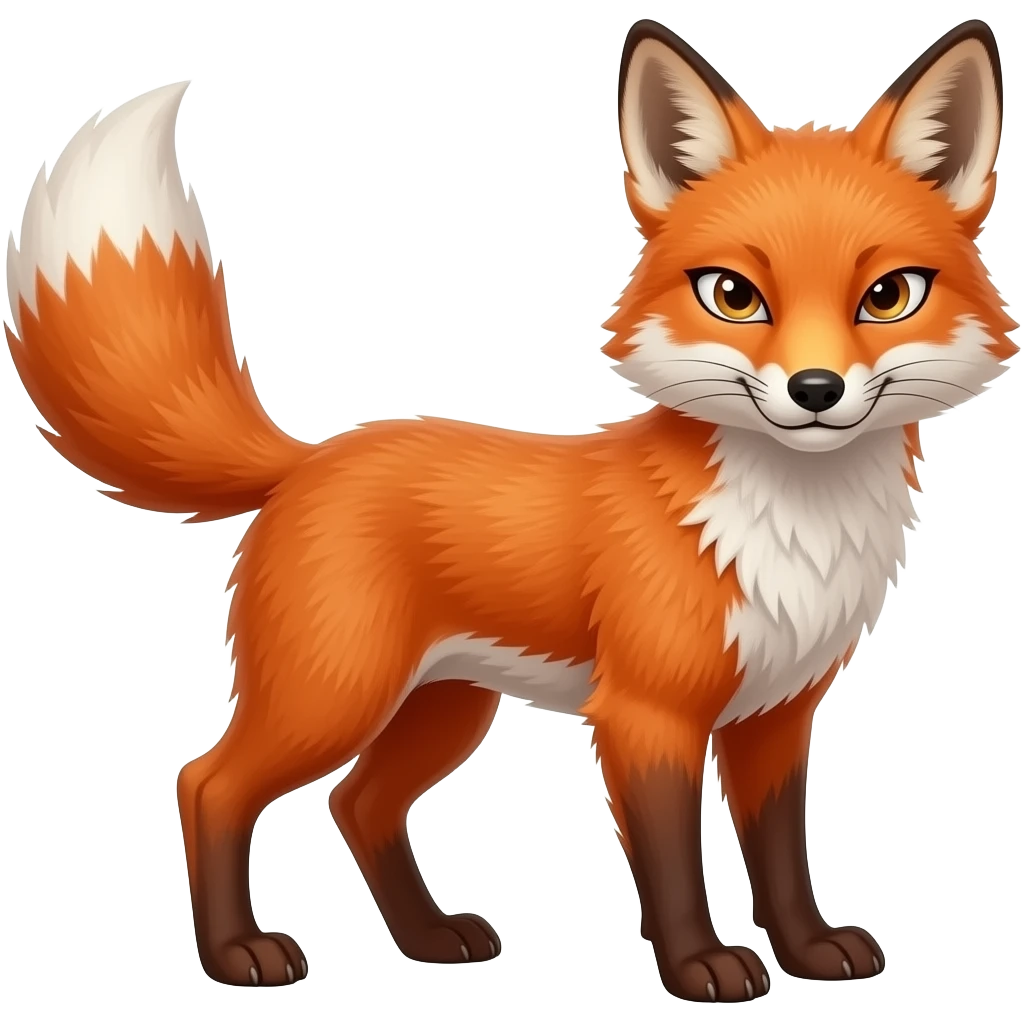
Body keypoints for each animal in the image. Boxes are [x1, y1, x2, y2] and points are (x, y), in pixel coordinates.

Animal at [3, 18, 1015, 1003]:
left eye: (888, 296)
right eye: (733, 295)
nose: (815, 390)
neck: (794, 529)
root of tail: (310, 458)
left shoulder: (776, 714)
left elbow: (780, 857)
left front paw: (806, 951)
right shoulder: (646, 716)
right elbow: (672, 865)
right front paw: (700, 969)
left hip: (444, 708)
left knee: (356, 803)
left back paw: (428, 940)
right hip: (334, 695)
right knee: (208, 785)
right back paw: (236, 954)